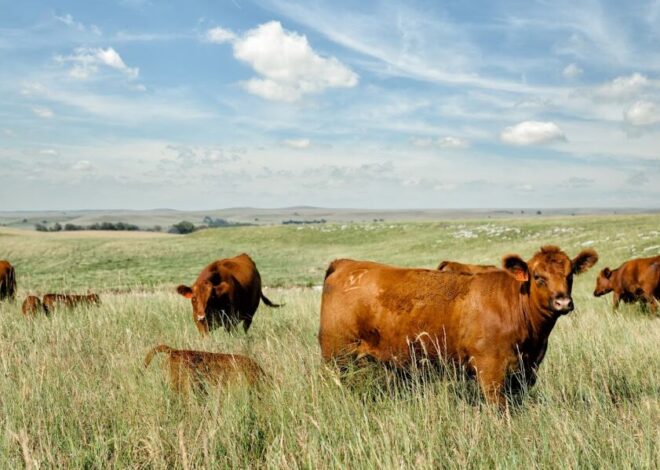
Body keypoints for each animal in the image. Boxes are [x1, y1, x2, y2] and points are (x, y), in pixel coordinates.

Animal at [319, 245, 598, 408]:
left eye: (570, 276)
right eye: (538, 277)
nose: (563, 301)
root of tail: (345, 263)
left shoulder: (527, 370)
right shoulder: (491, 370)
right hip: (339, 357)